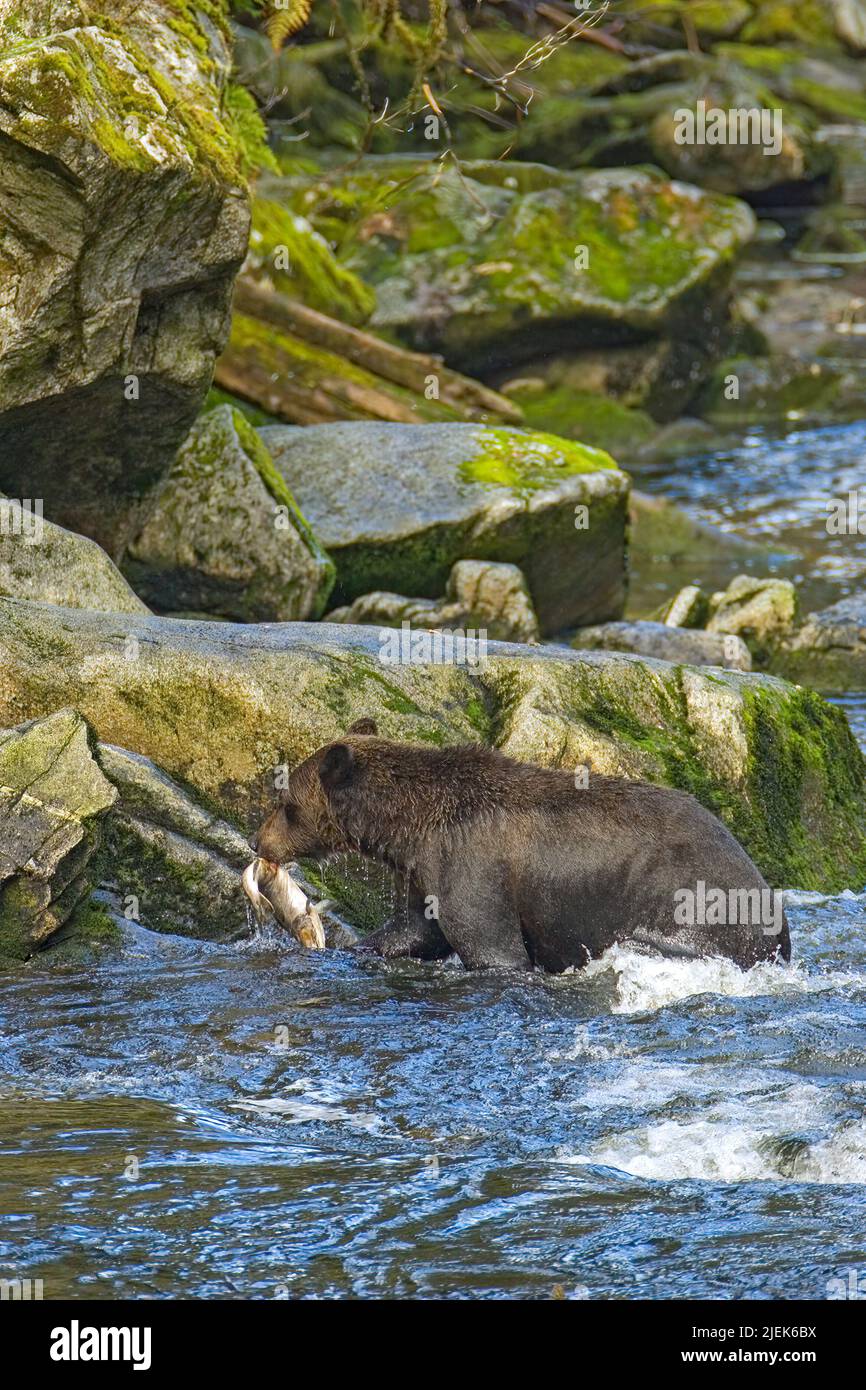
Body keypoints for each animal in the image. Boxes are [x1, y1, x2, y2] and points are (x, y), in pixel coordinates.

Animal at [252, 719, 790, 972]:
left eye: (285, 802)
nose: (258, 841)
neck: (413, 828)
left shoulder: (474, 867)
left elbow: (493, 948)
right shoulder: (430, 872)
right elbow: (416, 928)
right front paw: (357, 946)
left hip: (694, 903)